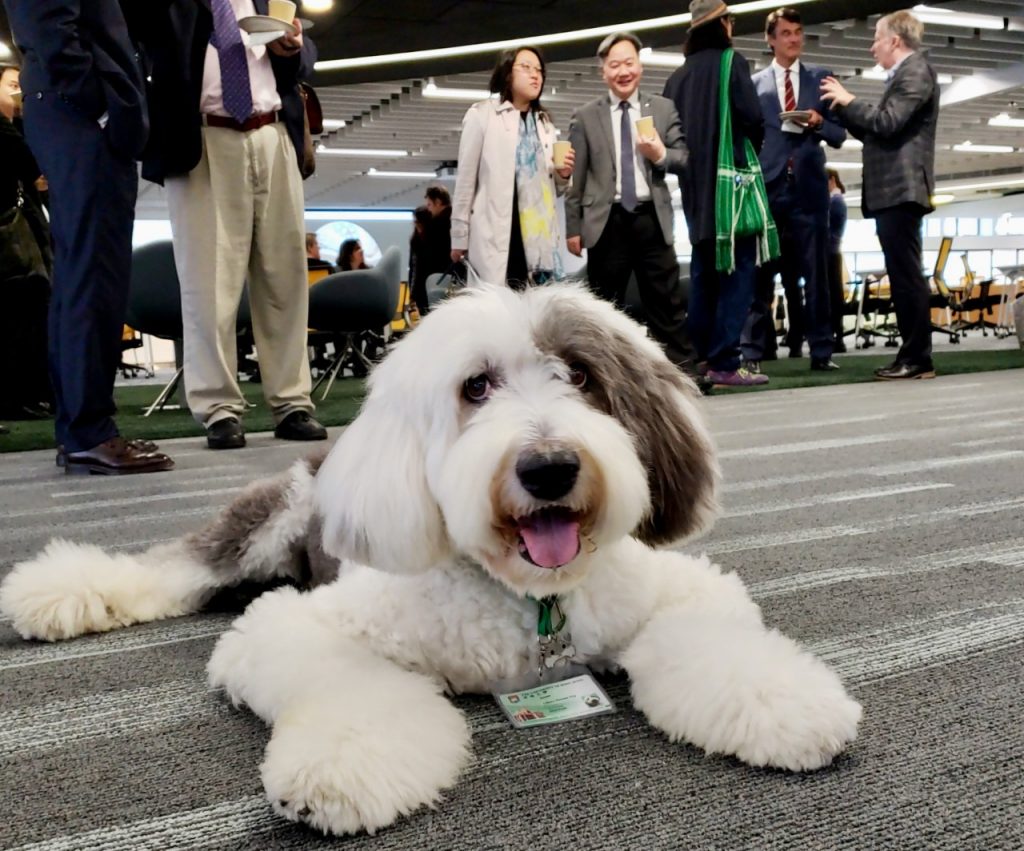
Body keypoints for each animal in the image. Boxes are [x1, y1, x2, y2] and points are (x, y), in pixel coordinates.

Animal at [2, 284, 864, 839]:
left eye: (582, 375)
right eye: (475, 386)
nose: (549, 467)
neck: (524, 594)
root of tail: (328, 453)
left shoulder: (673, 588)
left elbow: (713, 642)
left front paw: (787, 703)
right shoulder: (301, 622)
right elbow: (347, 683)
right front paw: (341, 769)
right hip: (270, 517)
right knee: (177, 568)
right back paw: (56, 592)